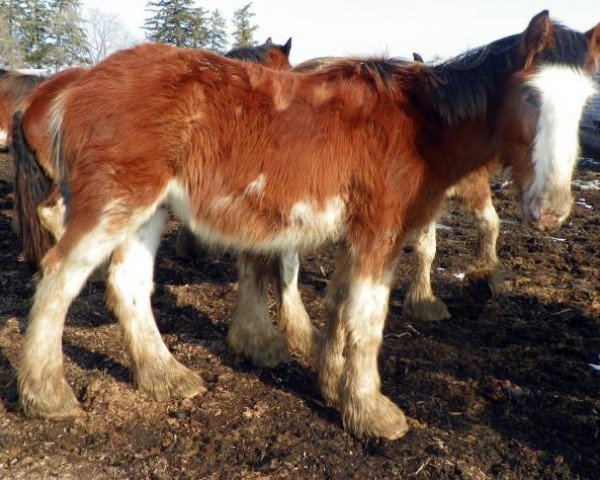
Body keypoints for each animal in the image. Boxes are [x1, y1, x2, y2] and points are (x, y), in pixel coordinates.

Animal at [17, 12, 600, 442]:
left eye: (584, 104)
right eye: (531, 96)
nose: (552, 209)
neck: (418, 125)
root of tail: (76, 83)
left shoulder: (356, 236)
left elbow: (339, 306)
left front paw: (331, 384)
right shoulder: (380, 234)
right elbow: (369, 319)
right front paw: (371, 410)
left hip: (150, 211)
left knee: (129, 285)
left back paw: (166, 377)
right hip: (115, 203)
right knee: (60, 277)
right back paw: (46, 394)